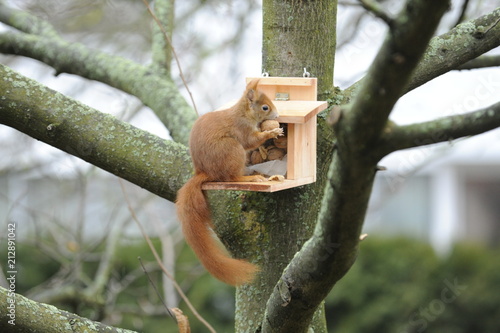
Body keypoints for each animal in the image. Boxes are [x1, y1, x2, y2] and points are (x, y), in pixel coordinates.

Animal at [177, 79, 284, 284]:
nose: (277, 115)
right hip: (232, 149)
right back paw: (250, 177)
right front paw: (271, 132)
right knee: (231, 178)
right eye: (265, 107)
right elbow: (251, 141)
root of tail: (205, 172)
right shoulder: (242, 129)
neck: (244, 113)